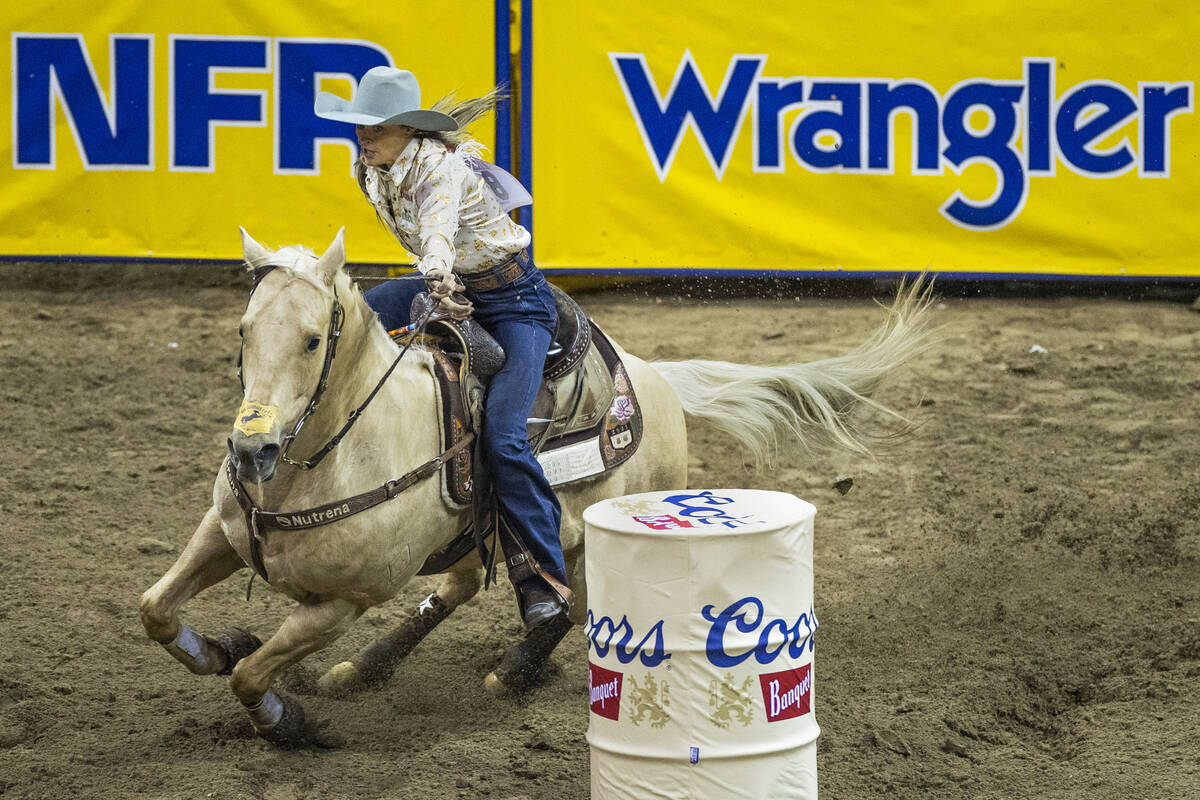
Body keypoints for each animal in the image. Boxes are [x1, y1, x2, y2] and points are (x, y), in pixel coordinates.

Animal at [138, 227, 926, 748]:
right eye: (243, 331)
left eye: (310, 339)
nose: (253, 450)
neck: (332, 458)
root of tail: (658, 379)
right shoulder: (222, 533)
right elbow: (155, 611)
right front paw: (218, 646)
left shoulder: (343, 600)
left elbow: (251, 678)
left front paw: (288, 720)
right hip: (474, 531)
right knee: (460, 587)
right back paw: (364, 667)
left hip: (589, 537)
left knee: (566, 606)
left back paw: (512, 672)